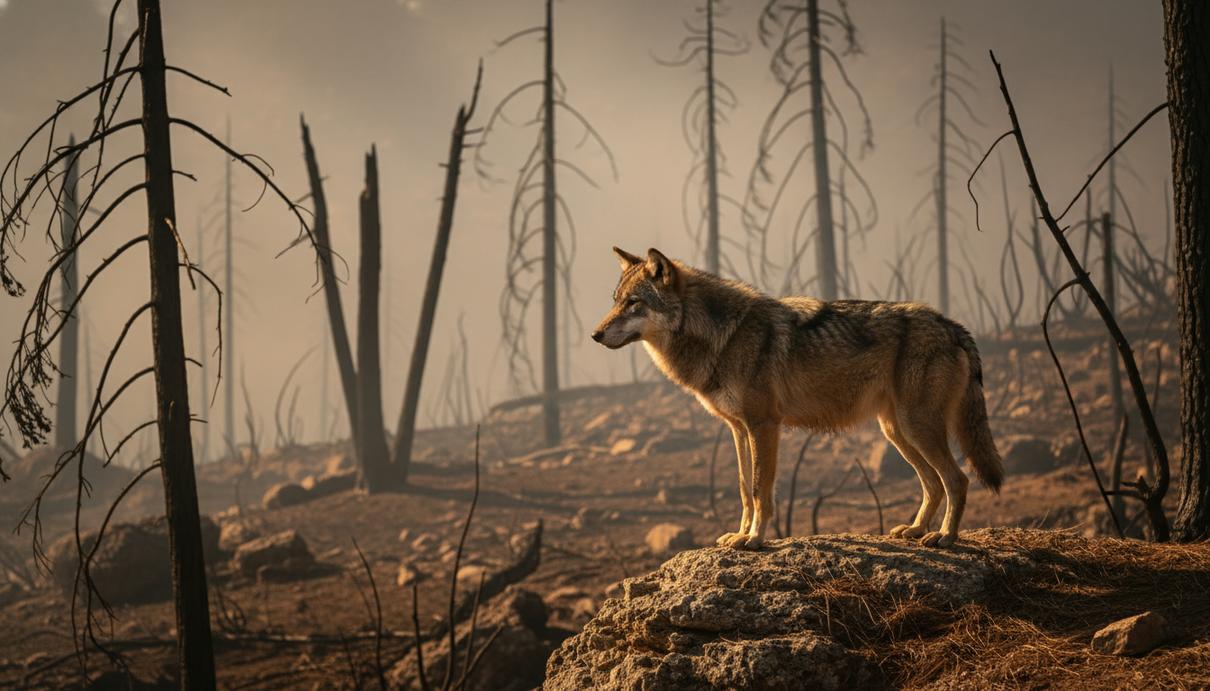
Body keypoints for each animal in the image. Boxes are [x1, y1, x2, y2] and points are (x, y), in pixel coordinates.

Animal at [591, 247, 1003, 549]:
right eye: (615, 301)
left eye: (634, 303)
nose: (595, 335)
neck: (723, 336)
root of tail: (951, 324)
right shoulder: (738, 429)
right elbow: (744, 488)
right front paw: (740, 534)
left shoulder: (763, 425)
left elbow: (760, 489)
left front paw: (755, 540)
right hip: (897, 431)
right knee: (933, 483)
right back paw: (916, 530)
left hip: (916, 427)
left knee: (957, 480)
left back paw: (944, 536)